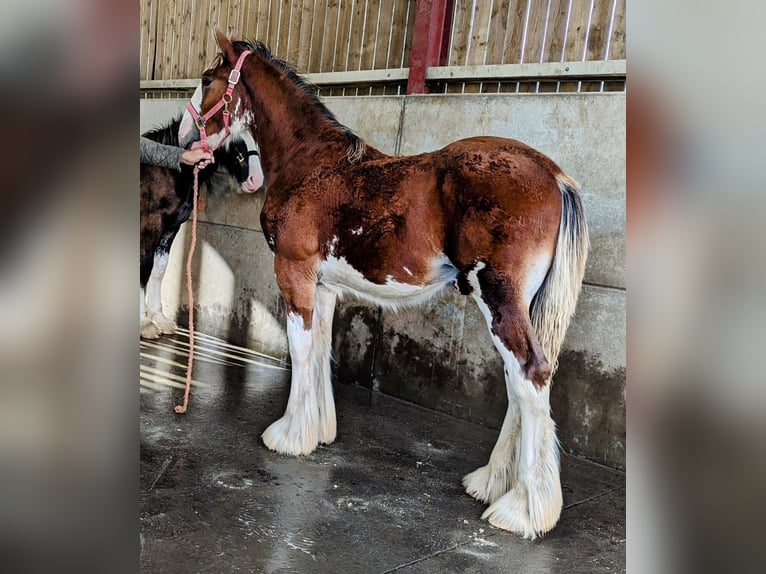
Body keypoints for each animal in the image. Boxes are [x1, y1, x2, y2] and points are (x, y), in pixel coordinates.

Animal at [141, 110, 264, 340]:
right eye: (234, 137)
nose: (256, 180)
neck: (169, 174)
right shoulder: (150, 225)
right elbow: (144, 267)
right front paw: (145, 324)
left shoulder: (171, 227)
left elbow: (159, 268)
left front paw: (159, 318)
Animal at [178, 30, 588, 544]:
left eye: (206, 80)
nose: (183, 138)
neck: (310, 163)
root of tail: (554, 176)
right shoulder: (323, 284)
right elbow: (320, 349)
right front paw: (318, 431)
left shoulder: (293, 272)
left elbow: (300, 348)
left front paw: (288, 436)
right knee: (521, 385)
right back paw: (492, 483)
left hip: (498, 299)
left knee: (530, 375)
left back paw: (521, 511)